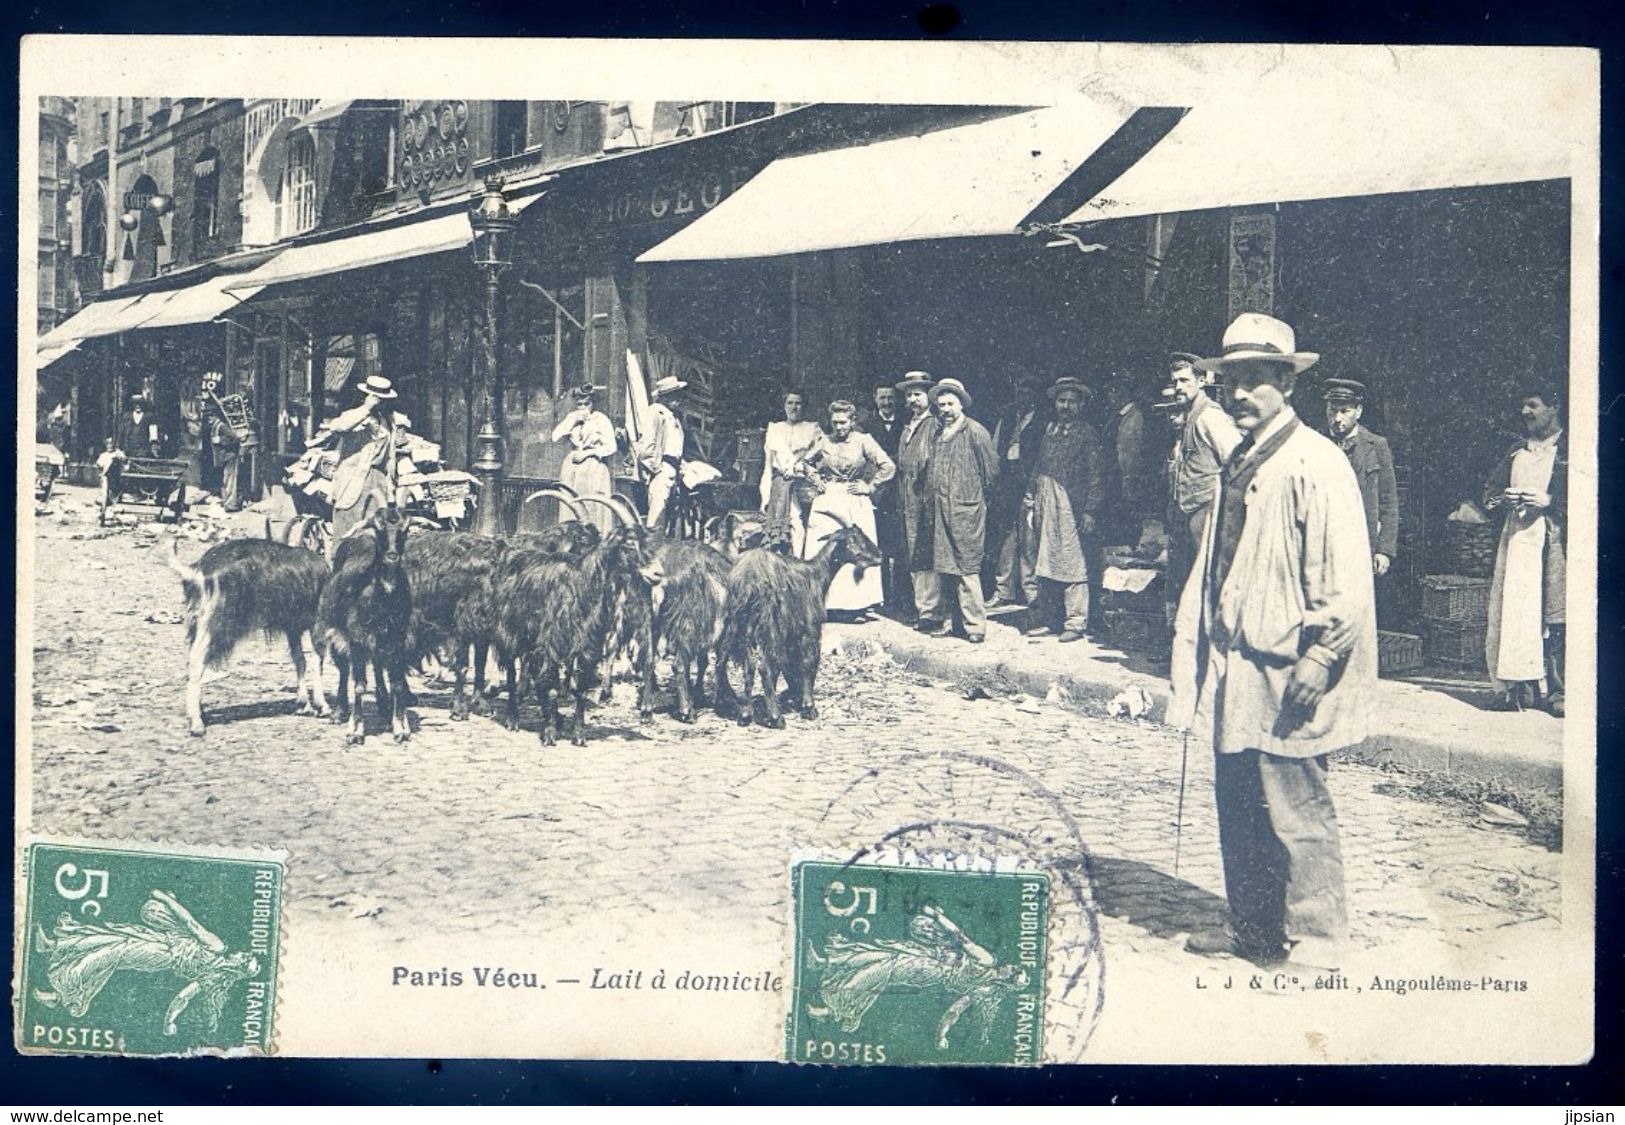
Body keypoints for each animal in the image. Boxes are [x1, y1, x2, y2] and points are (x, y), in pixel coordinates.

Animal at [168, 539, 329, 738]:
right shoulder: (318, 622)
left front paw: (303, 704)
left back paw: (200, 713)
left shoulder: (292, 627)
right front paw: (322, 706)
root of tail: (199, 569)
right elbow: (316, 662)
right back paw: (196, 724)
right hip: (215, 620)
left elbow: (300, 660)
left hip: (196, 621)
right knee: (196, 660)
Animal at [310, 503, 412, 741]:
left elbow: (397, 684)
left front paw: (400, 727)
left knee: (376, 665)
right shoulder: (356, 639)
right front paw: (355, 730)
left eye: (405, 528)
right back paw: (338, 711)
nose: (392, 555)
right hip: (332, 633)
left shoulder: (397, 640)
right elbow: (359, 686)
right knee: (344, 668)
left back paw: (384, 705)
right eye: (379, 526)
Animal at [490, 510, 663, 747]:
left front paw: (578, 735)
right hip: (509, 634)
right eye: (629, 544)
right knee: (511, 672)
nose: (658, 574)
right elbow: (553, 690)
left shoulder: (588, 648)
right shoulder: (550, 646)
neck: (581, 587)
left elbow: (580, 691)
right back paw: (513, 719)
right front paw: (550, 734)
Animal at [718, 516, 884, 728]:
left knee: (749, 666)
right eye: (853, 539)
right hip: (771, 628)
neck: (815, 574)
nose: (879, 555)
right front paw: (808, 707)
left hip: (740, 628)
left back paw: (745, 715)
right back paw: (776, 717)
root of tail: (749, 581)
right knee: (765, 668)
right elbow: (809, 663)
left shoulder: (793, 634)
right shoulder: (810, 628)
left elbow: (790, 666)